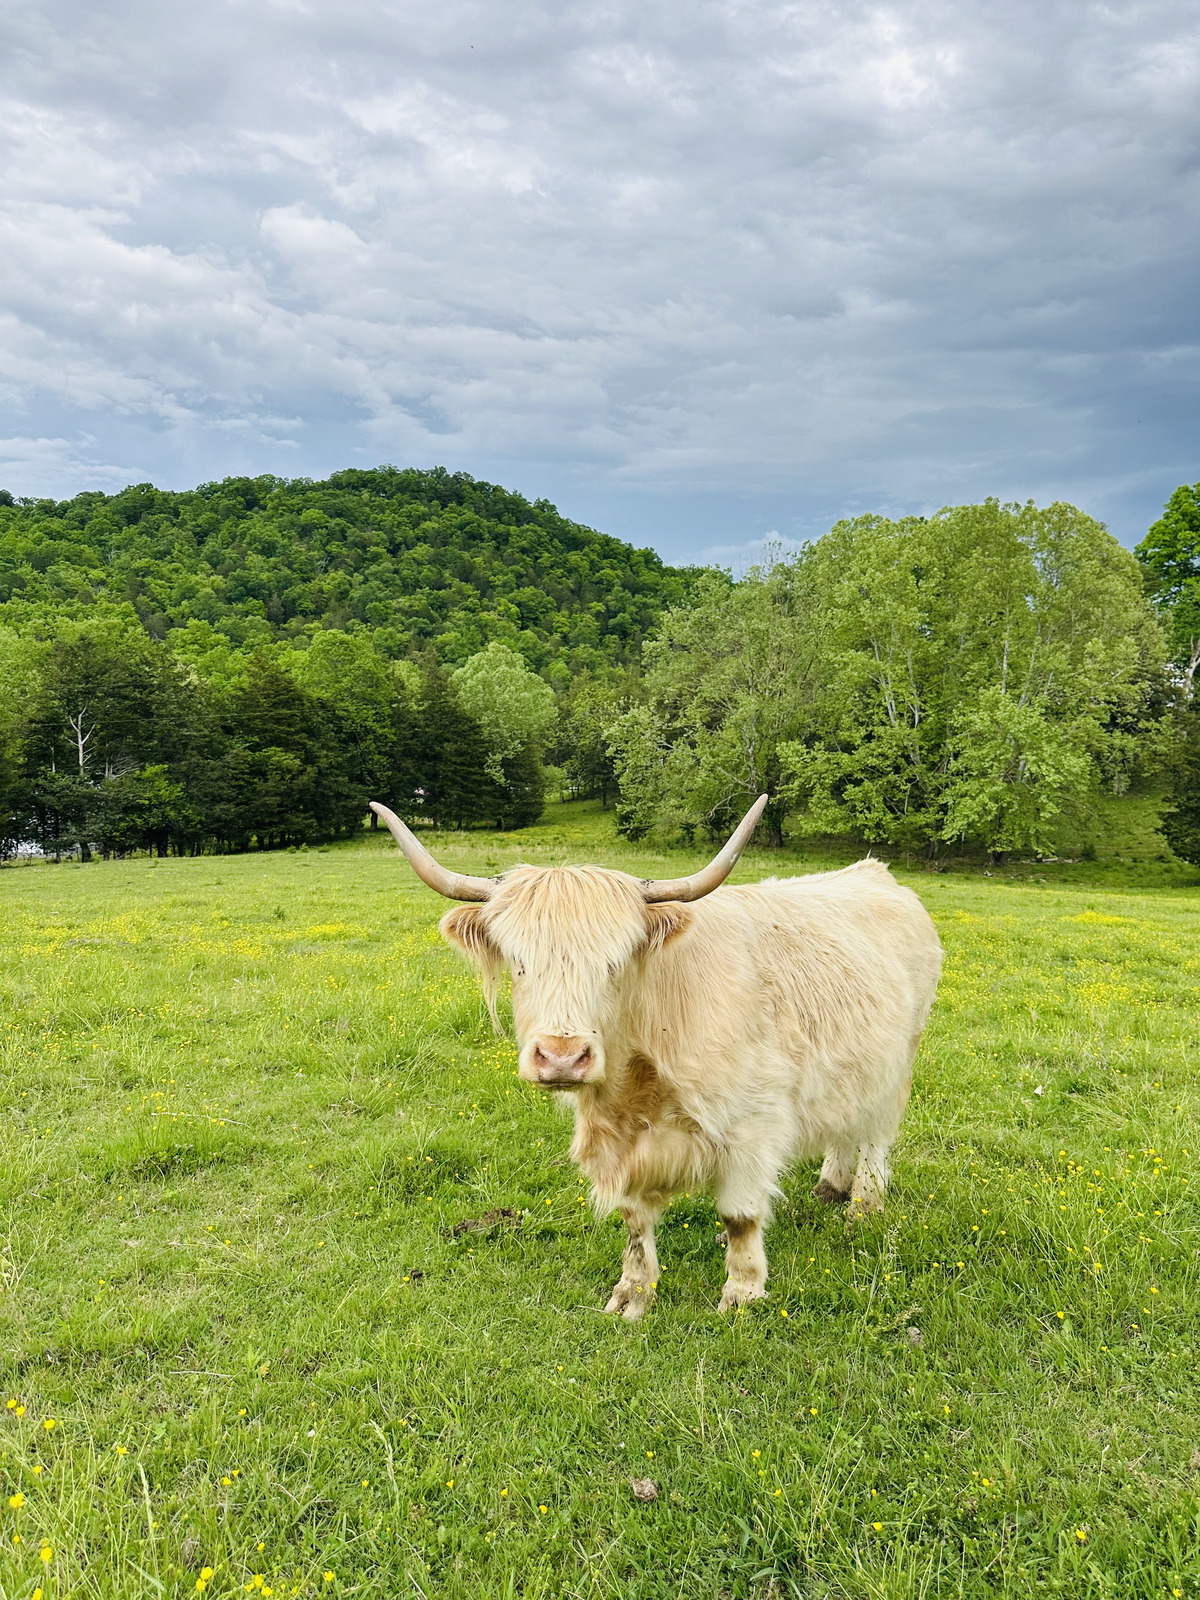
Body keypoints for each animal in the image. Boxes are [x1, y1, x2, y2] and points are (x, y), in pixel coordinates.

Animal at [370, 796, 942, 1319]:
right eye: (518, 962)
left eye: (615, 962)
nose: (562, 1058)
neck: (638, 1080)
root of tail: (875, 872)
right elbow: (634, 1222)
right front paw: (633, 1294)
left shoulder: (753, 1125)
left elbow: (740, 1215)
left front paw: (741, 1293)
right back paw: (830, 1185)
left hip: (899, 1059)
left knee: (875, 1133)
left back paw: (863, 1205)